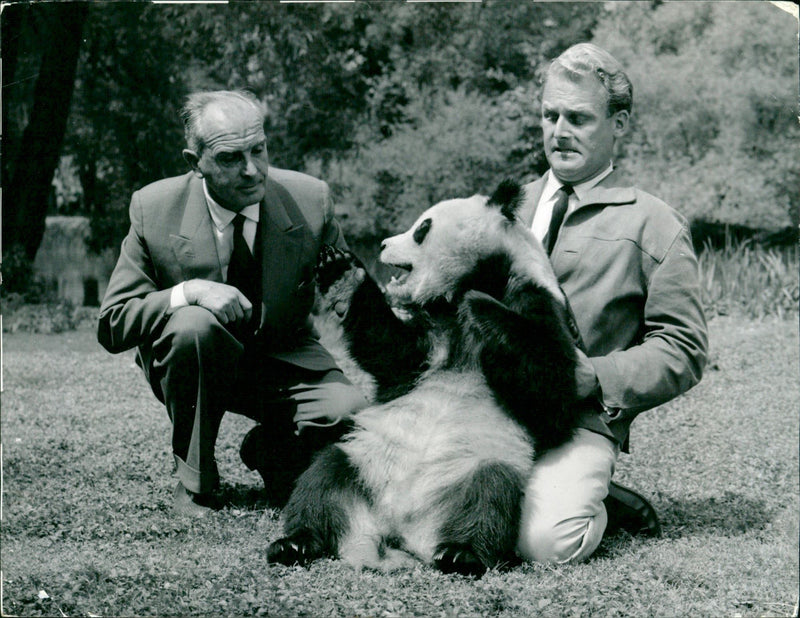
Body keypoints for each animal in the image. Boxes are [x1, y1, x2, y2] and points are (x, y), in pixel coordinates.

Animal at [266, 179, 583, 576]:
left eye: (422, 229)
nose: (384, 244)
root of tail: (397, 532)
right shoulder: (430, 334)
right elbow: (394, 355)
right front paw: (341, 272)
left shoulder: (537, 300)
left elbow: (552, 395)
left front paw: (480, 305)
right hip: (363, 459)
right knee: (322, 479)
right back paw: (295, 542)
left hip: (477, 463)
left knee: (489, 497)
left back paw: (461, 553)